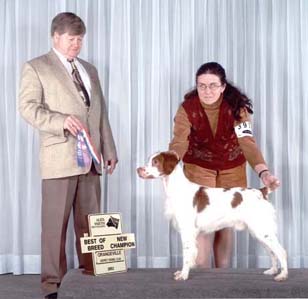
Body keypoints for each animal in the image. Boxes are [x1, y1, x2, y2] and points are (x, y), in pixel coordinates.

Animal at [137, 151, 288, 282]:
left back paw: (282, 275)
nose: (138, 169)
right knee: (272, 251)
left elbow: (187, 254)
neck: (177, 189)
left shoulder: (187, 230)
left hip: (262, 229)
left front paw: (183, 275)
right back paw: (272, 270)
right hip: (258, 231)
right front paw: (182, 272)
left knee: (281, 251)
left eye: (155, 162)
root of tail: (262, 192)